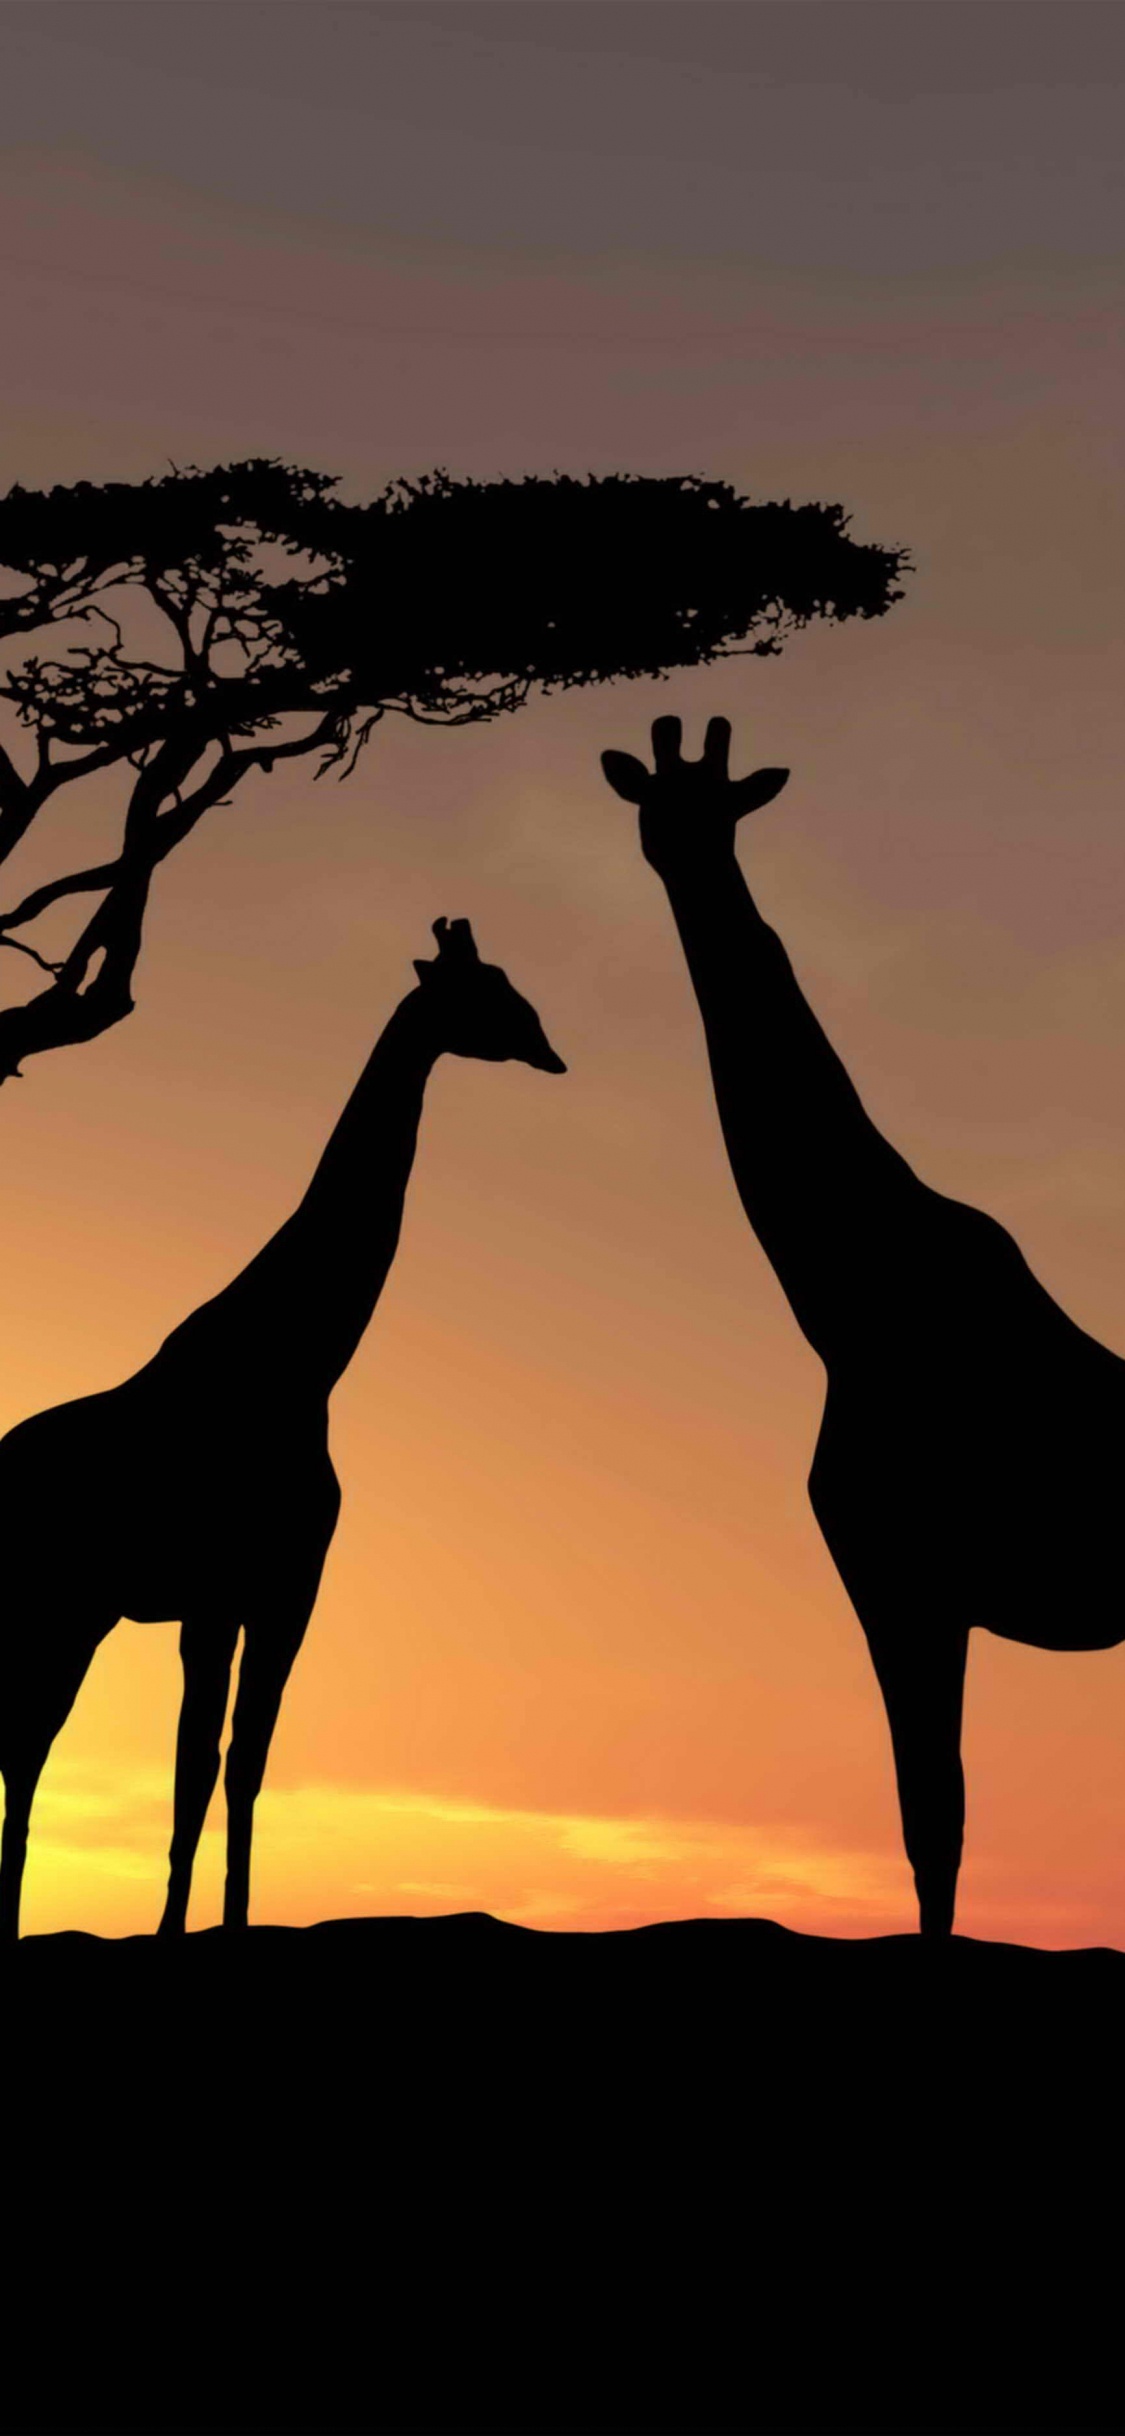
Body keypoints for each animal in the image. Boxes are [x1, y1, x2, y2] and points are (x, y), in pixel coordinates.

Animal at [0, 917, 565, 1943]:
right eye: (487, 991)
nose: (551, 1050)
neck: (299, 1367)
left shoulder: (286, 1590)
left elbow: (244, 1763)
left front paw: (224, 1925)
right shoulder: (218, 1591)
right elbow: (193, 1764)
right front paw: (171, 1933)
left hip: (80, 1611)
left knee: (22, 1742)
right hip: (52, 1600)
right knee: (22, 1745)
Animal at [603, 714, 1125, 1938]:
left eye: (724, 810)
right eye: (653, 805)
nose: (684, 864)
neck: (851, 1301)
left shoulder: (911, 1573)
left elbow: (936, 1819)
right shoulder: (886, 1571)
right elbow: (928, 1821)